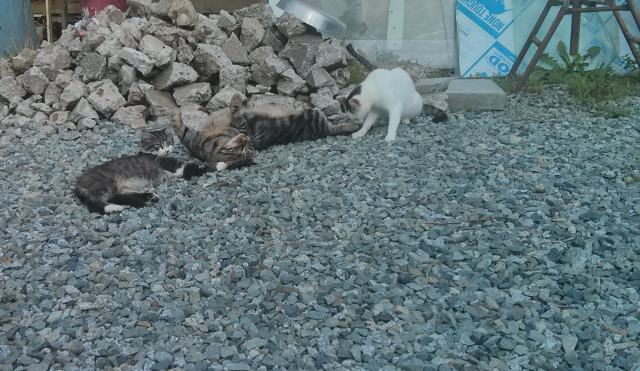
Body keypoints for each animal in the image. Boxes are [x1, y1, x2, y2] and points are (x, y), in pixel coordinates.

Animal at [75, 127, 212, 215]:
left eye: (169, 142)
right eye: (158, 145)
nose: (167, 150)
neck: (153, 154)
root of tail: (78, 183)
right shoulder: (175, 165)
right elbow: (198, 167)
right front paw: (215, 165)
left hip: (119, 187)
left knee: (117, 196)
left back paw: (149, 197)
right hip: (105, 184)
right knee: (94, 202)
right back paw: (114, 208)